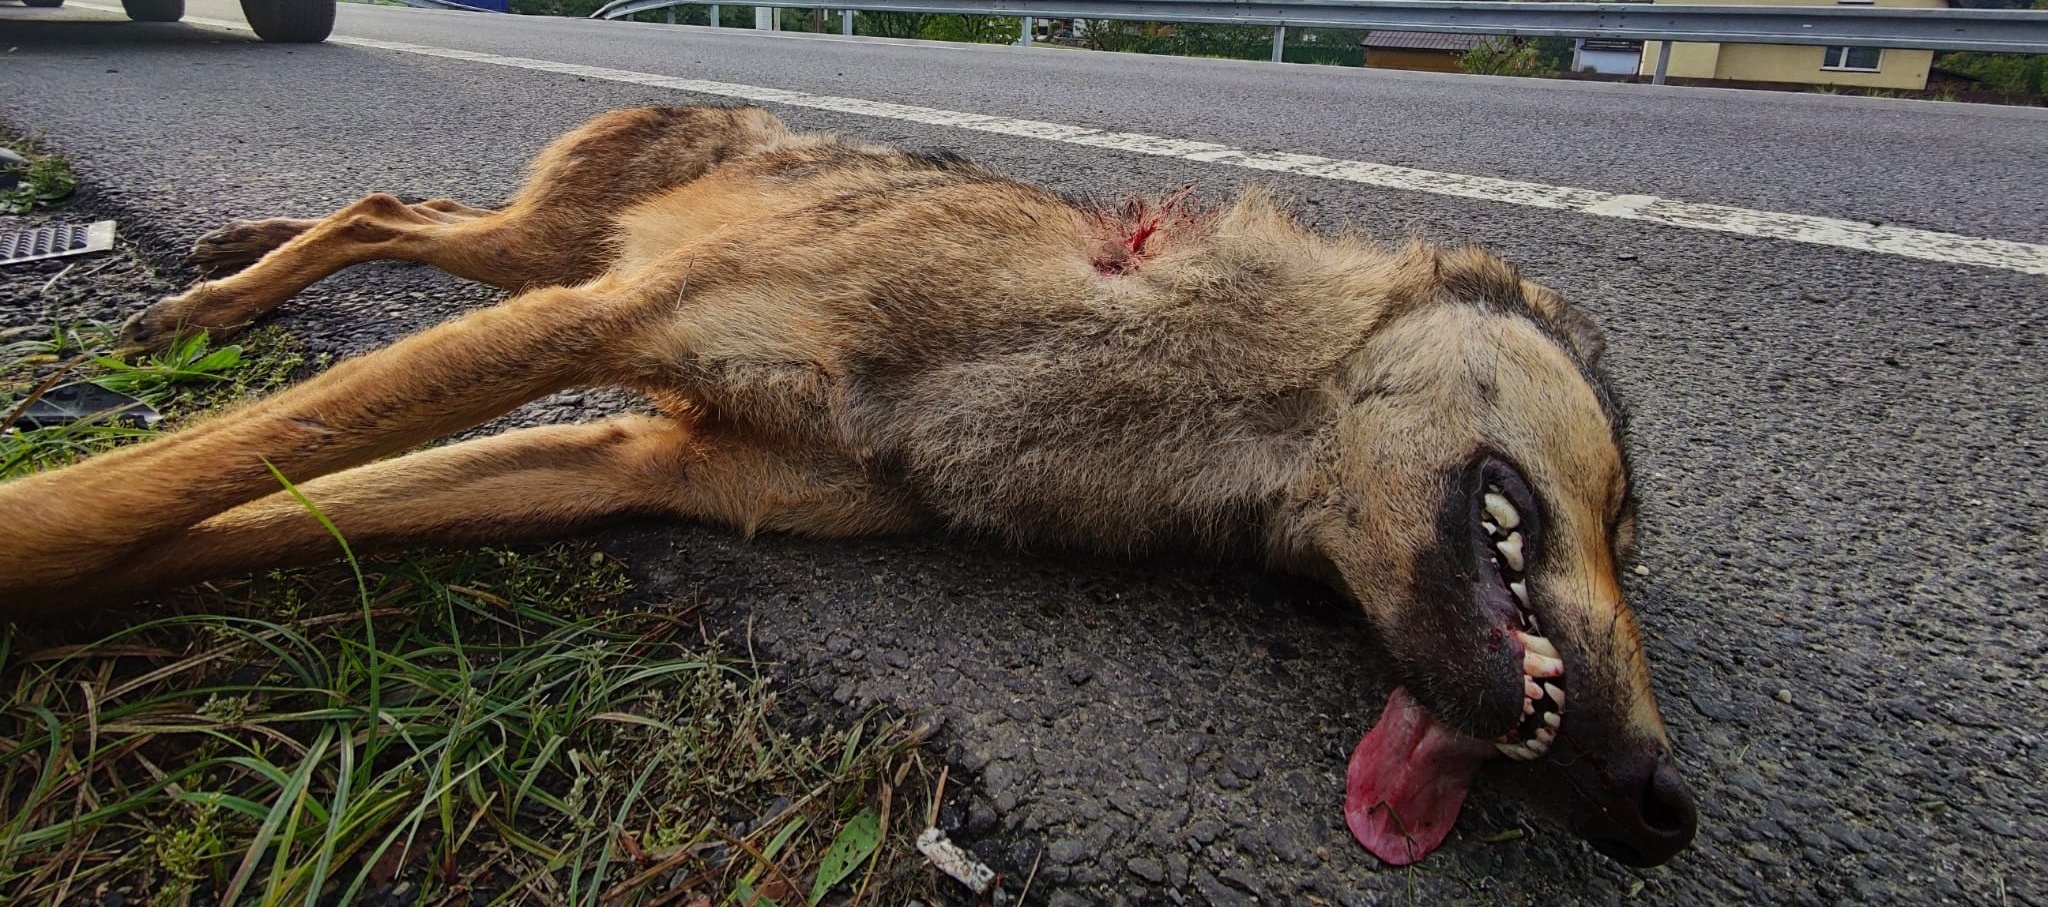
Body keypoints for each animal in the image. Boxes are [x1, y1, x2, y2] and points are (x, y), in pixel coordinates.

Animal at [0, 104, 1695, 872]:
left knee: (392, 206)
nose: (1662, 808)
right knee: (380, 208)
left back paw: (237, 252)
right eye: (1623, 519)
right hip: (549, 265)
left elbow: (217, 518)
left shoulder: (647, 458)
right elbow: (174, 474)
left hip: (531, 262)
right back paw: (214, 292)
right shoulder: (607, 325)